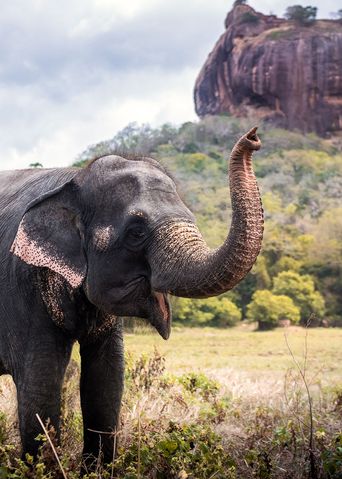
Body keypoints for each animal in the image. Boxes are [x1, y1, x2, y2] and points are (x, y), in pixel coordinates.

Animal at [0, 126, 264, 468]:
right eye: (137, 232)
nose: (253, 137)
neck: (74, 178)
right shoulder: (24, 285)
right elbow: (39, 384)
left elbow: (106, 380)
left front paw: (99, 470)